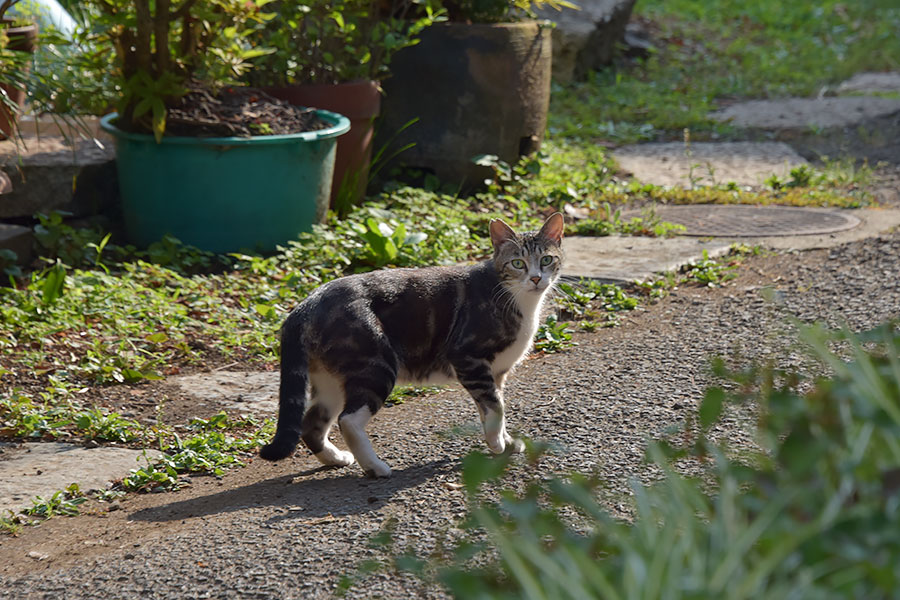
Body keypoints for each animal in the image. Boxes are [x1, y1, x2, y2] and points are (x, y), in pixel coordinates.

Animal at [256, 213, 564, 476]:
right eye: (517, 263)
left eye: (547, 259)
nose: (536, 278)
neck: (521, 302)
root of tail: (306, 304)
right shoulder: (469, 358)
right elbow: (497, 407)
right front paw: (498, 443)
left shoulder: (496, 372)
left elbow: (494, 407)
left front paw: (505, 442)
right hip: (374, 365)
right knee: (348, 420)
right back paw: (376, 467)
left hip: (330, 378)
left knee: (312, 423)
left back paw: (336, 458)